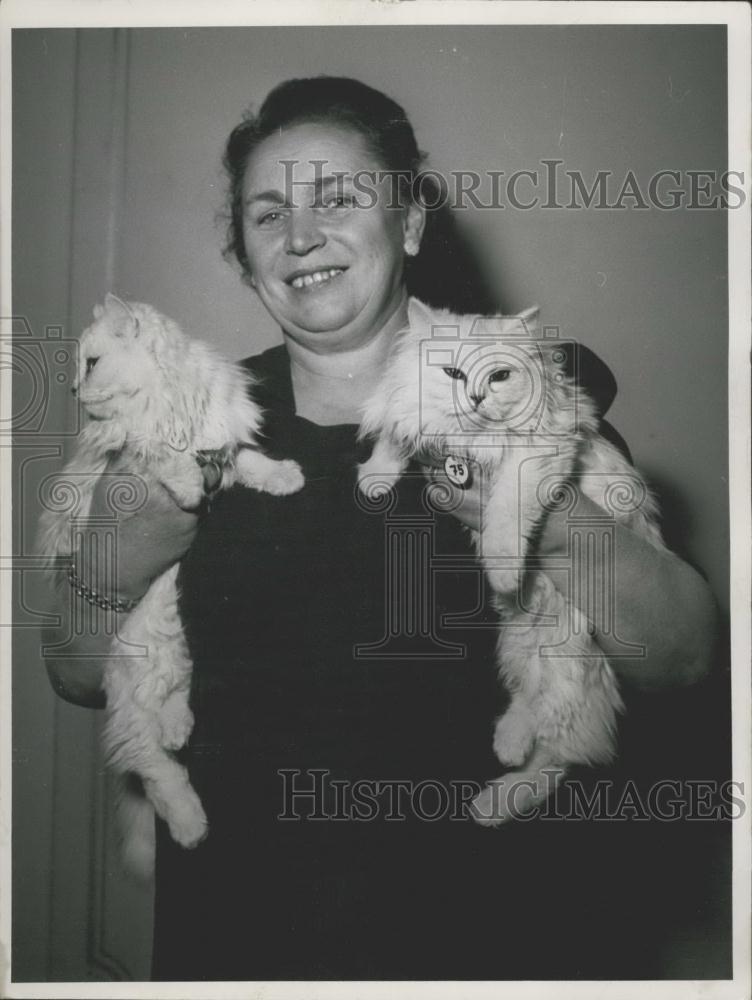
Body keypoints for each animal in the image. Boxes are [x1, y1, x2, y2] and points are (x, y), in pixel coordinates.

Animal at [39, 292, 306, 872]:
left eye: (91, 364)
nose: (73, 390)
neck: (168, 401)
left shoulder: (221, 444)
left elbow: (249, 460)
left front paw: (285, 477)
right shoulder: (138, 453)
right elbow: (169, 456)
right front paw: (186, 490)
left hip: (172, 641)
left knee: (170, 710)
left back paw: (179, 728)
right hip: (129, 680)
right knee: (154, 766)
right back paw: (190, 827)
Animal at [356, 294, 664, 820]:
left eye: (499, 376)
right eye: (453, 373)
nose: (477, 398)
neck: (472, 438)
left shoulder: (536, 456)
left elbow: (505, 517)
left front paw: (502, 570)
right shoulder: (415, 420)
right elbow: (395, 440)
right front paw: (374, 479)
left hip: (566, 651)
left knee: (559, 753)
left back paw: (496, 794)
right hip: (523, 642)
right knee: (533, 713)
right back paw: (502, 761)